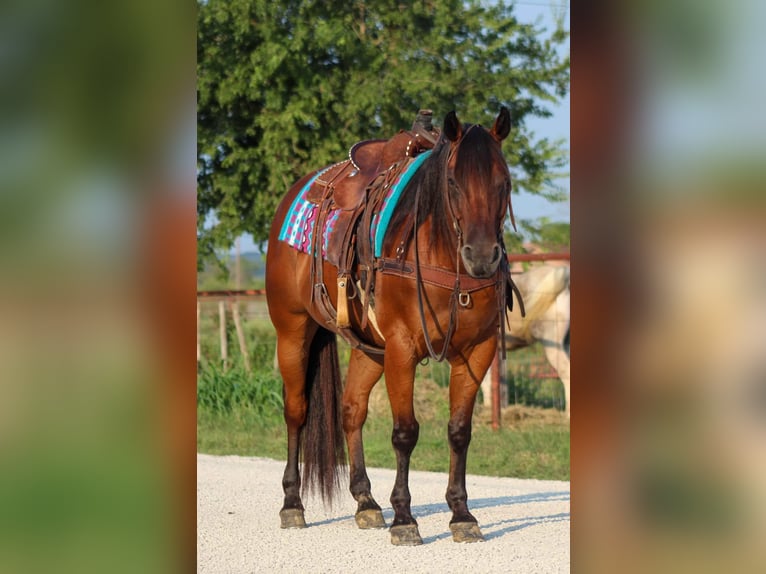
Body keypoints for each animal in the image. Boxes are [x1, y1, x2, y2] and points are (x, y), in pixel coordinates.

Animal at [268, 109, 516, 548]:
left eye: (503, 181)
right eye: (453, 182)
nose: (483, 256)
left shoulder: (477, 351)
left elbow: (459, 431)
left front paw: (461, 514)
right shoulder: (403, 348)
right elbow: (405, 432)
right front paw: (404, 518)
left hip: (369, 347)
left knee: (352, 411)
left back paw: (365, 502)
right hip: (292, 332)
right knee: (296, 411)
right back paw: (292, 504)